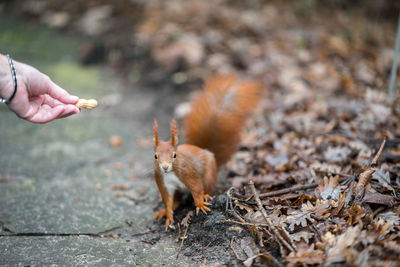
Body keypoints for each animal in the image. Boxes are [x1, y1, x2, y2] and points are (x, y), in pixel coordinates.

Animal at [152, 74, 260, 229]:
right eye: (155, 156)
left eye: (174, 155)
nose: (165, 167)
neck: (171, 173)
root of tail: (207, 151)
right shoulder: (163, 182)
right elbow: (168, 201)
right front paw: (168, 215)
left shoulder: (190, 174)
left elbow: (197, 188)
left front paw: (200, 204)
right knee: (177, 201)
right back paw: (163, 212)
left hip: (208, 175)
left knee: (207, 187)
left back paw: (206, 196)